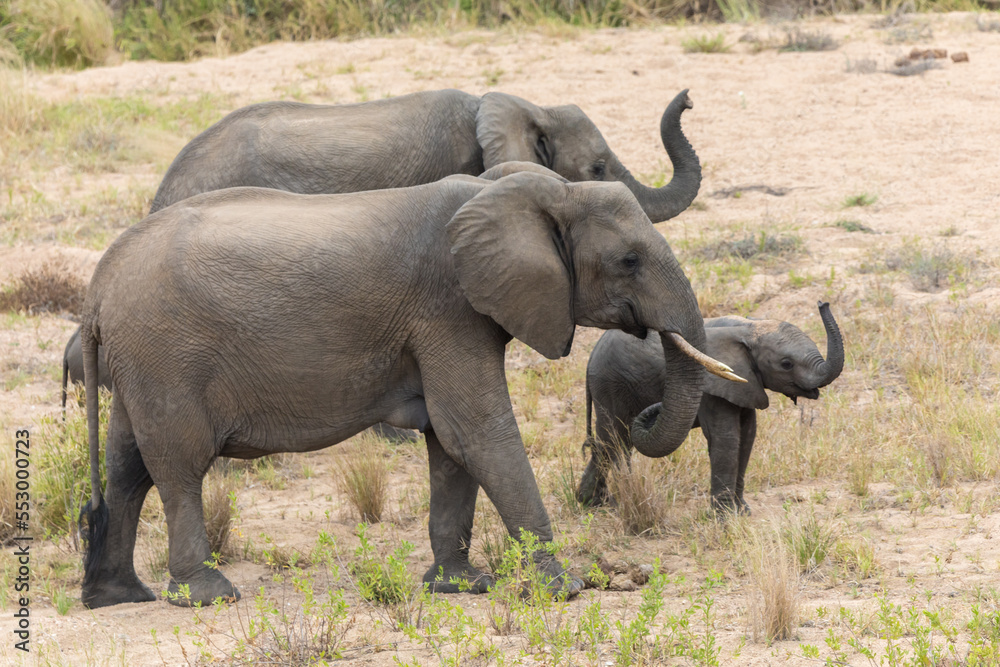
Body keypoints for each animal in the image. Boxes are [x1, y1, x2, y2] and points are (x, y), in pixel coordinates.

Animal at [77, 169, 741, 609]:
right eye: (629, 260)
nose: (644, 411)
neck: (523, 192)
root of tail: (98, 286)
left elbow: (449, 445)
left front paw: (458, 586)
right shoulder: (448, 309)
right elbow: (476, 431)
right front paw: (565, 588)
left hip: (141, 362)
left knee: (128, 467)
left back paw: (118, 596)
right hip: (165, 354)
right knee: (180, 465)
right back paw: (208, 596)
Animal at [576, 302, 844, 515]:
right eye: (786, 364)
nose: (822, 303)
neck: (749, 328)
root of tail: (590, 358)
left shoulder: (746, 384)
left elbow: (747, 435)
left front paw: (742, 512)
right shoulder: (712, 384)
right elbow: (726, 438)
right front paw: (724, 519)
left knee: (613, 442)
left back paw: (593, 503)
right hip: (611, 385)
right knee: (612, 439)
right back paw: (600, 504)